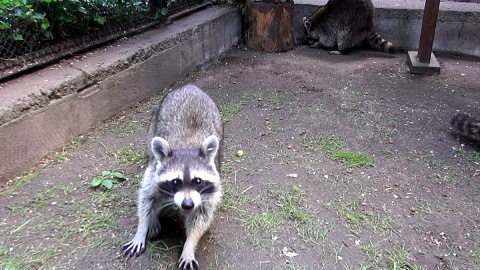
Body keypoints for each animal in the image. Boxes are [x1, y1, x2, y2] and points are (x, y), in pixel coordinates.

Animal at [123, 83, 222, 268]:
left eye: (198, 181)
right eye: (176, 181)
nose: (187, 204)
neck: (187, 146)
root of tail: (190, 86)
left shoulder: (209, 192)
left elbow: (201, 217)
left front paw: (190, 245)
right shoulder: (153, 171)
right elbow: (146, 199)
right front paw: (142, 226)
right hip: (153, 124)